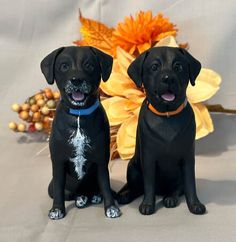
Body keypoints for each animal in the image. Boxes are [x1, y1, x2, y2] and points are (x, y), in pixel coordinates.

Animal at [41, 45, 121, 219]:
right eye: (64, 66)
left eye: (89, 65)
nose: (76, 80)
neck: (79, 115)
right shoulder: (58, 162)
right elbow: (59, 188)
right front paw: (57, 209)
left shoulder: (101, 161)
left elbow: (105, 185)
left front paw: (111, 207)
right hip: (53, 187)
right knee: (70, 193)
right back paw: (81, 198)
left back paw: (93, 196)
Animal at [117, 46, 206, 215]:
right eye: (154, 67)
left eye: (178, 67)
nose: (168, 79)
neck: (167, 115)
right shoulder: (149, 158)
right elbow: (149, 185)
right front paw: (147, 204)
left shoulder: (187, 157)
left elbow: (190, 184)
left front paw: (195, 204)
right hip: (133, 166)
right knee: (136, 187)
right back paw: (125, 195)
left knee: (178, 188)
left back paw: (170, 198)